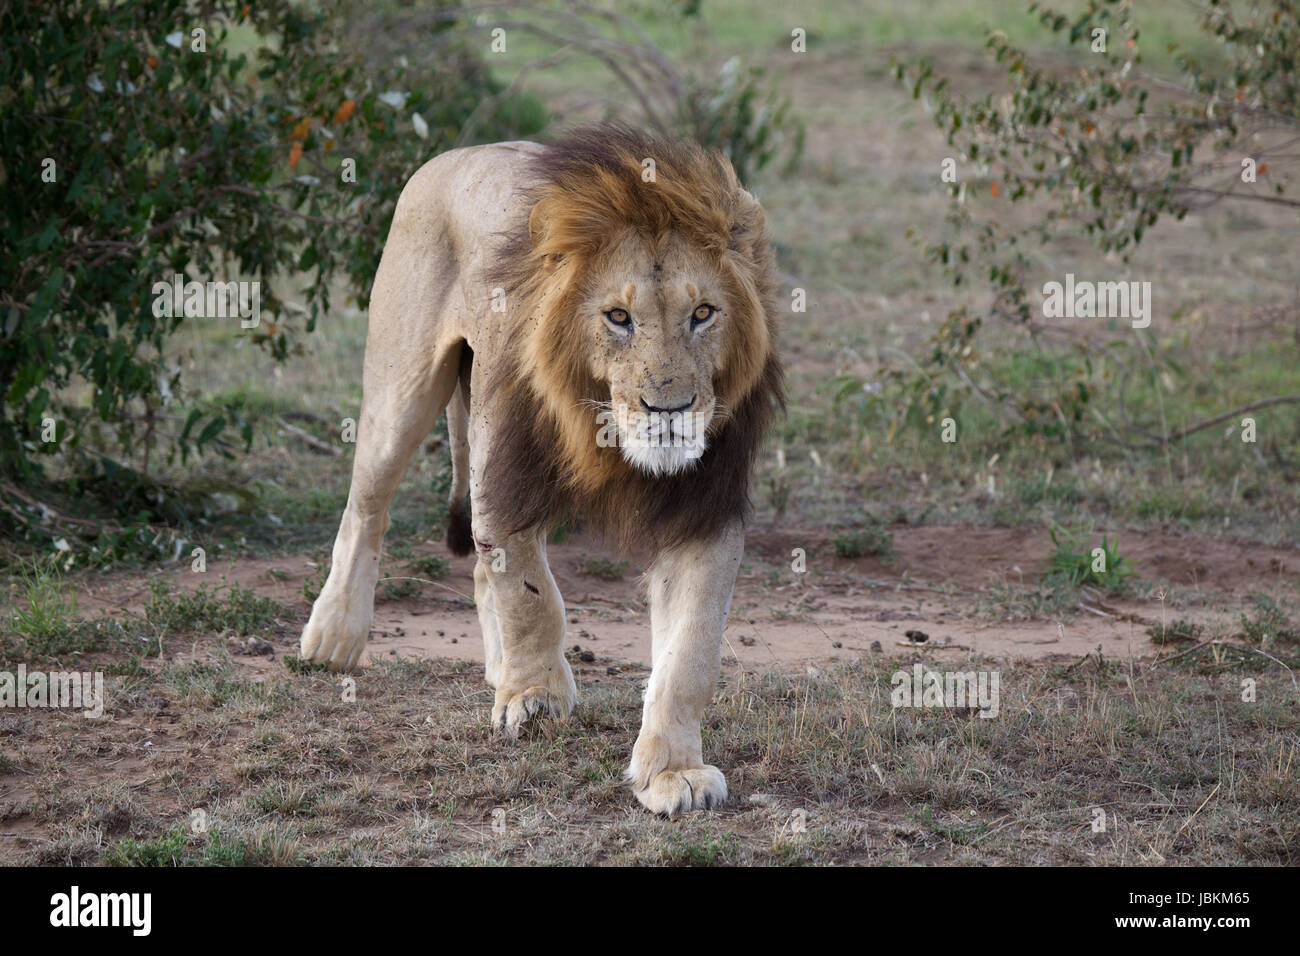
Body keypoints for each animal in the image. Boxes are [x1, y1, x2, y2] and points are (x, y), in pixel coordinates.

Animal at [299, 124, 783, 816]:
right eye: (618, 317)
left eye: (703, 314)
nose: (669, 410)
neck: (602, 433)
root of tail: (454, 155)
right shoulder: (506, 472)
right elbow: (531, 596)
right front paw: (537, 699)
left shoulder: (703, 510)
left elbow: (689, 653)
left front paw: (672, 772)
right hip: (401, 394)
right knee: (366, 507)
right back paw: (334, 638)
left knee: (476, 563)